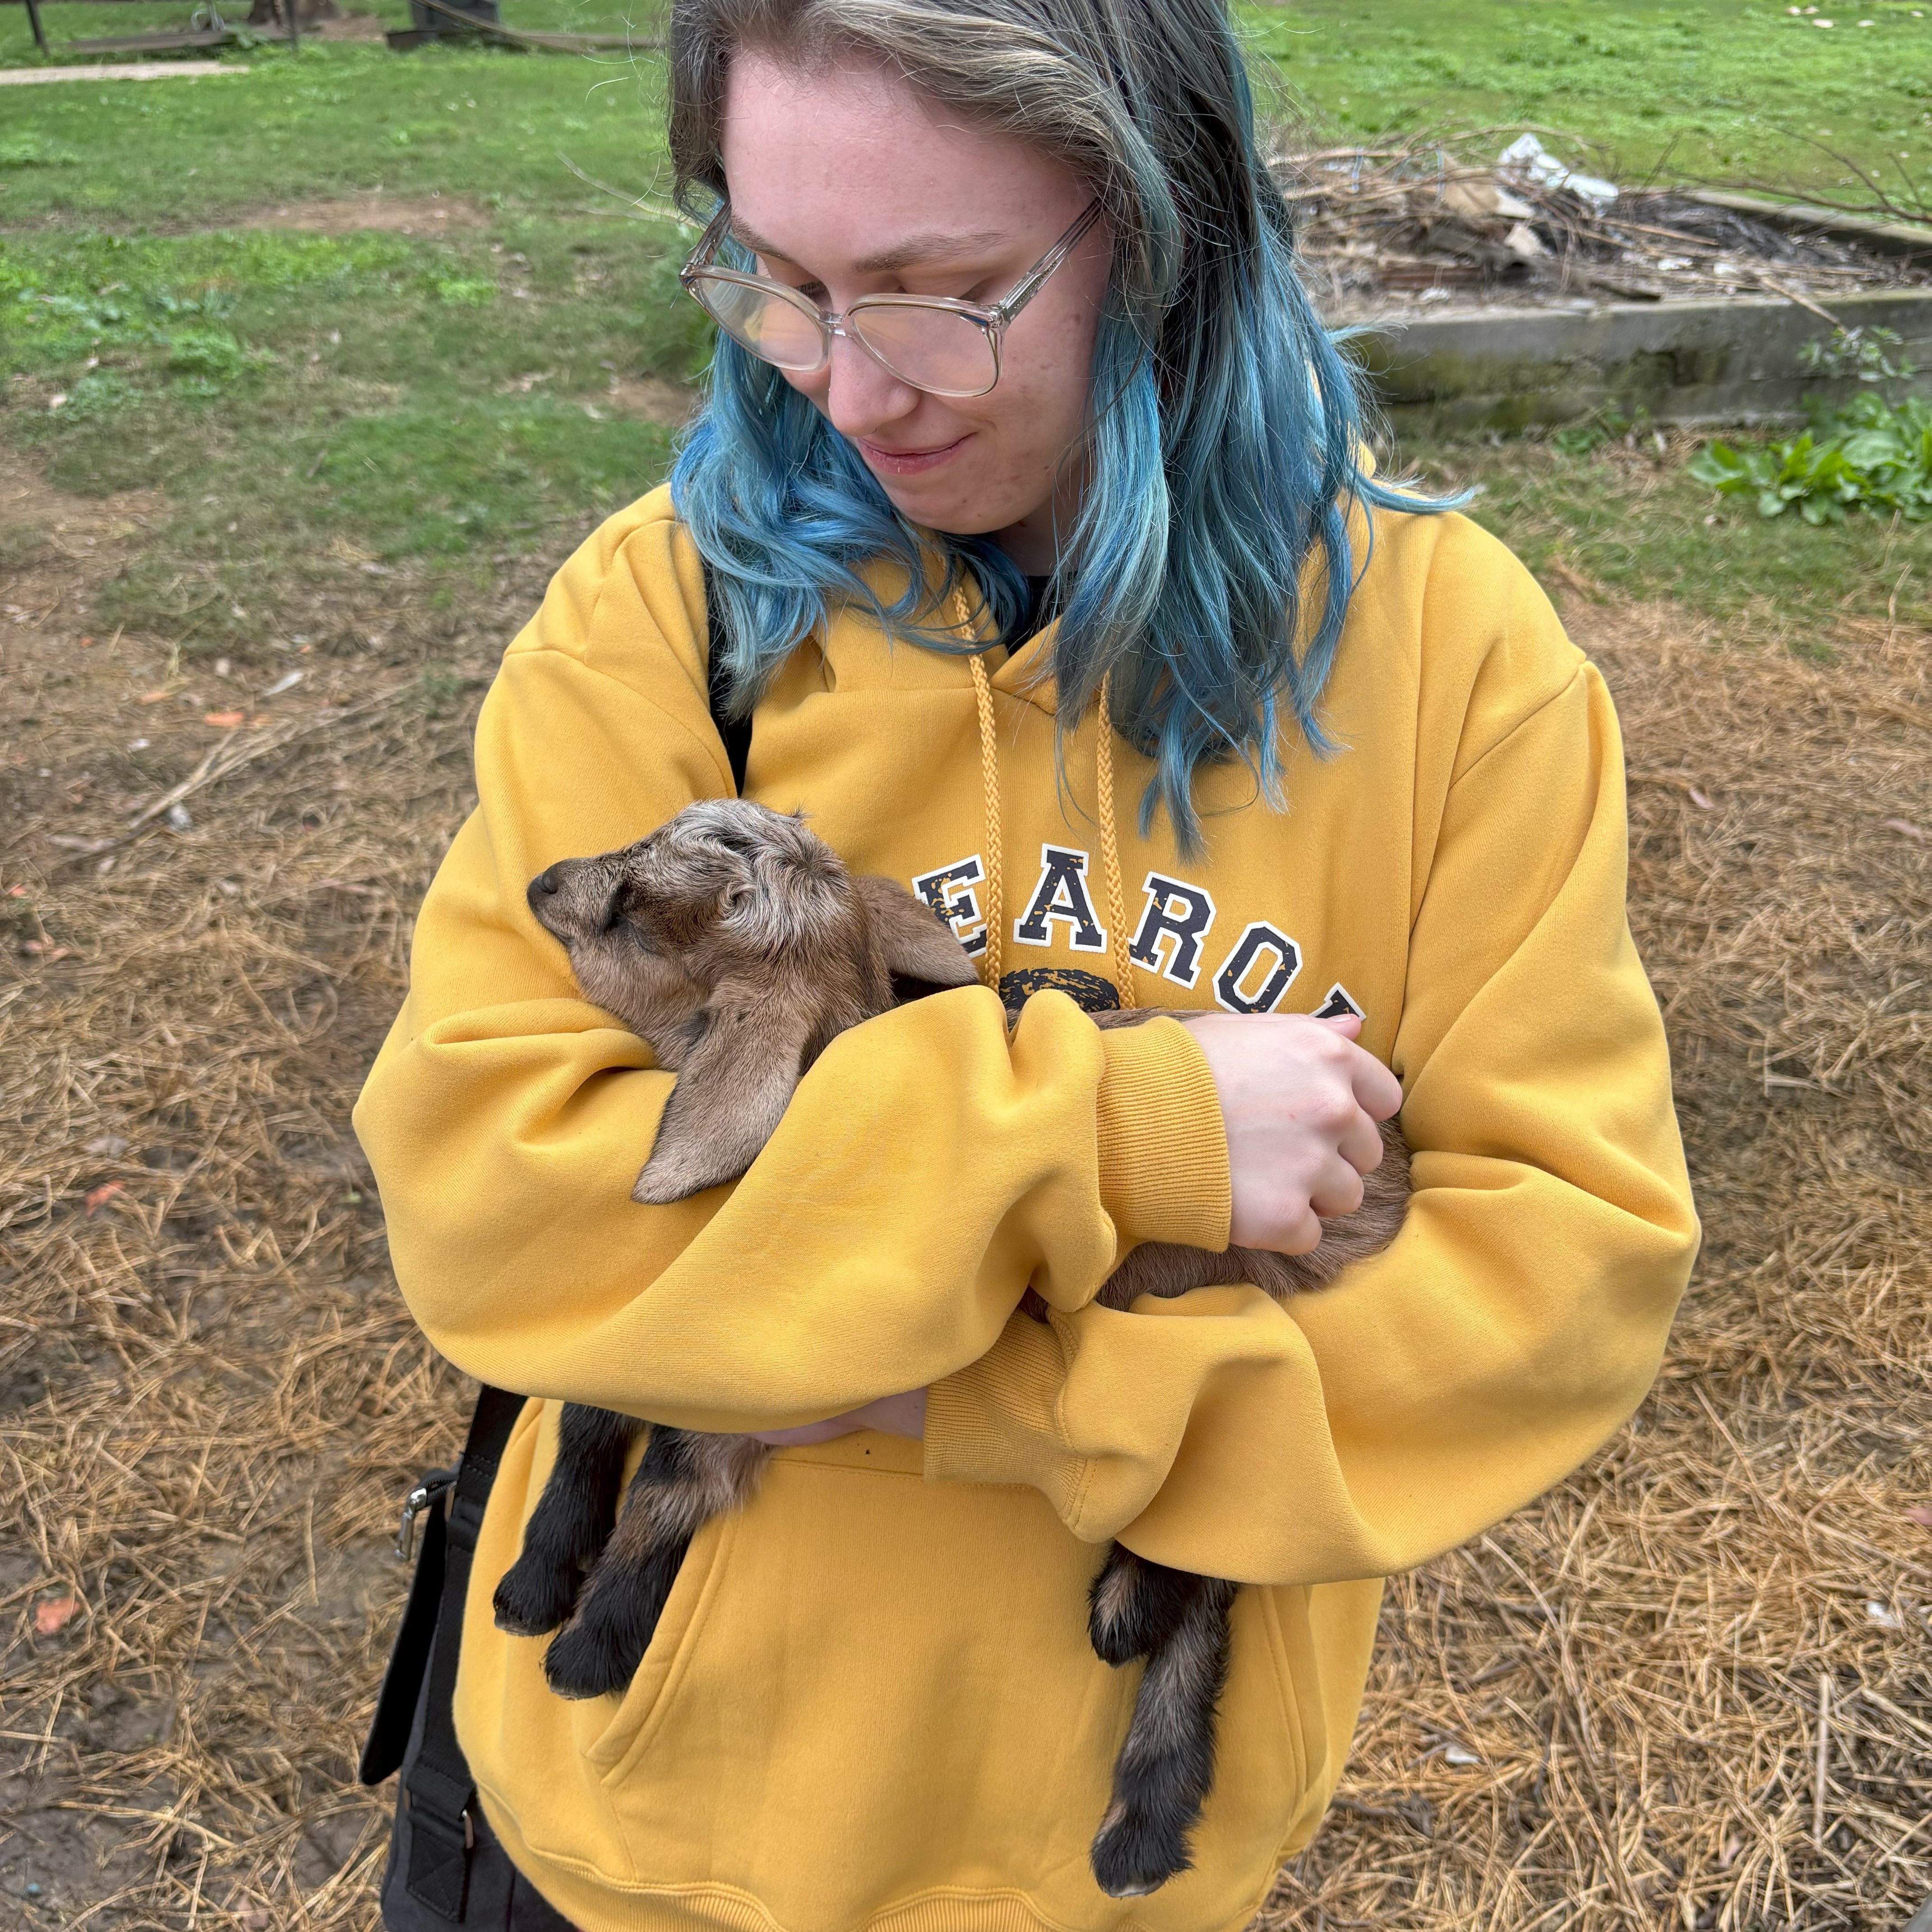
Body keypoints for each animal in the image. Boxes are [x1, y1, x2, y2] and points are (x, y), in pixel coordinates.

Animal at [491, 798, 1410, 1899]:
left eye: (629, 913)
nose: (542, 881)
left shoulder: (760, 1365)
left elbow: (672, 1475)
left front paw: (591, 1645)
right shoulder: (649, 1324)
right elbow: (588, 1416)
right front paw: (536, 1580)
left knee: (1219, 1558)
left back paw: (1133, 1726)